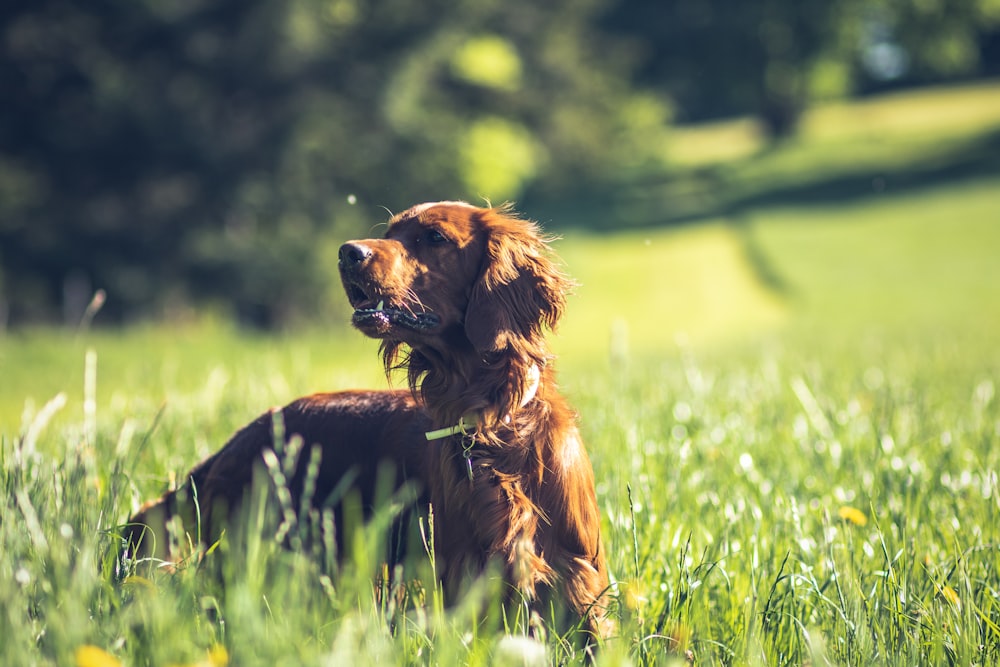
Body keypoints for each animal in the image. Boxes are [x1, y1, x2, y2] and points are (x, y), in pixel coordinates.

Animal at [125, 202, 608, 640]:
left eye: (434, 237)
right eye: (390, 232)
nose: (346, 253)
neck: (490, 422)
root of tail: (239, 441)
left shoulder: (579, 579)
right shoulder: (465, 575)